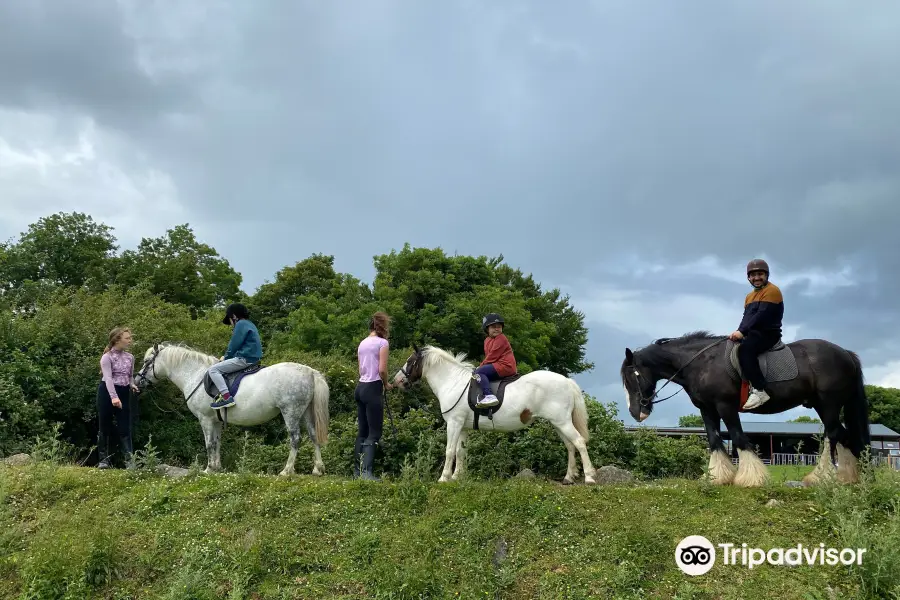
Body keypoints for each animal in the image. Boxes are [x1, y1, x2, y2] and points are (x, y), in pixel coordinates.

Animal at [134, 344, 330, 476]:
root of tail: (309, 371)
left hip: (291, 411)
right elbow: (217, 442)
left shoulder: (205, 419)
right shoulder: (216, 421)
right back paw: (317, 469)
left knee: (295, 439)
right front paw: (217, 467)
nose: (136, 383)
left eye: (146, 362)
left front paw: (208, 469)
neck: (195, 375)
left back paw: (287, 470)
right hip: (305, 412)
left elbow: (209, 443)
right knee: (313, 436)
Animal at [394, 344, 596, 486]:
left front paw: (444, 478)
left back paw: (589, 477)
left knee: (579, 442)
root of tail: (567, 381)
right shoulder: (463, 427)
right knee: (570, 446)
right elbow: (460, 451)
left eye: (410, 361)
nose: (397, 380)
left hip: (562, 422)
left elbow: (450, 450)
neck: (453, 382)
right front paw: (458, 477)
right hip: (558, 423)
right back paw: (569, 477)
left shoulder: (454, 423)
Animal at [624, 332, 868, 488]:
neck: (701, 363)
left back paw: (820, 477)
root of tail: (846, 354)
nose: (637, 413)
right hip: (823, 405)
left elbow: (738, 437)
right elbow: (714, 439)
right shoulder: (707, 409)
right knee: (841, 435)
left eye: (631, 378)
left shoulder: (725, 406)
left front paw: (751, 478)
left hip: (828, 404)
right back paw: (846, 476)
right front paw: (718, 477)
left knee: (832, 435)